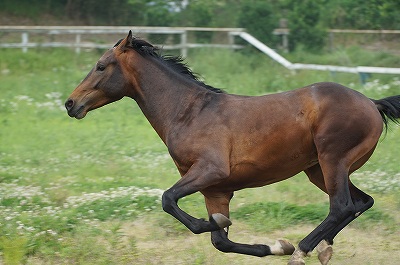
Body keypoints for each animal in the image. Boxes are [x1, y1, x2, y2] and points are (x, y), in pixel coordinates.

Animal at [65, 31, 400, 264]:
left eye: (101, 66)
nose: (70, 103)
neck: (189, 112)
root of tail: (372, 102)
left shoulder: (210, 171)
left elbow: (168, 200)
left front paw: (213, 224)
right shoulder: (216, 190)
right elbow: (221, 241)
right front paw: (274, 245)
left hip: (333, 160)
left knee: (342, 206)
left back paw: (301, 252)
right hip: (317, 169)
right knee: (360, 202)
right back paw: (321, 249)